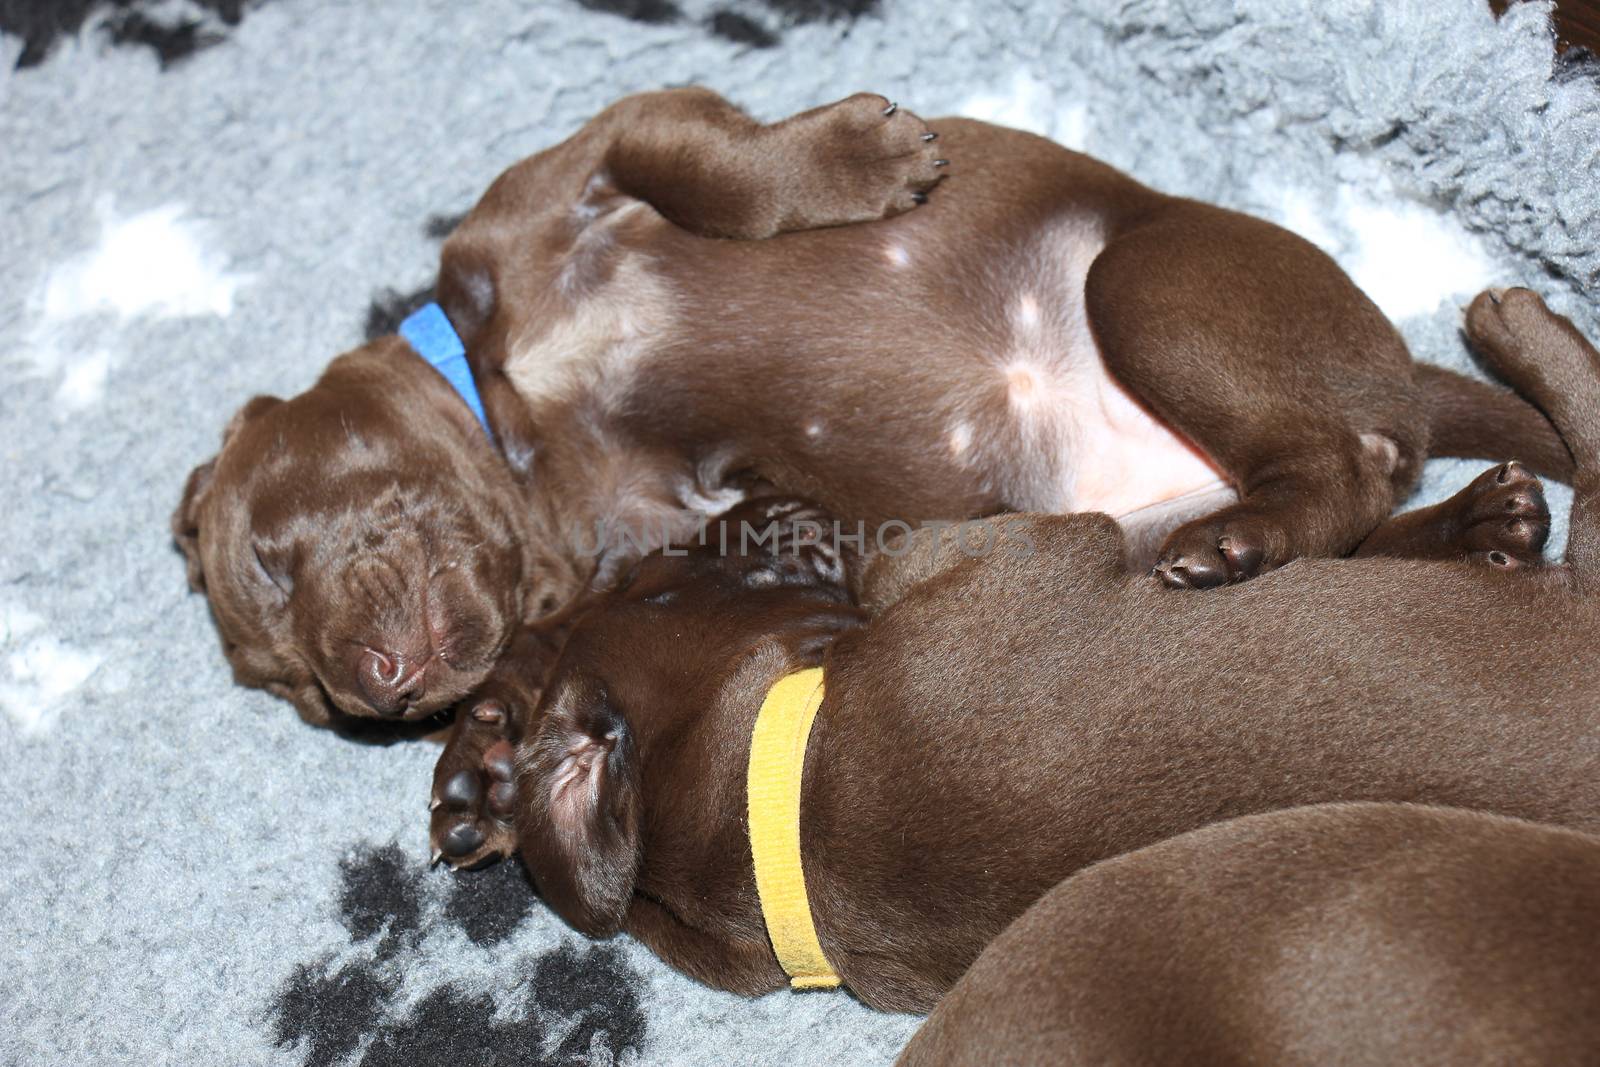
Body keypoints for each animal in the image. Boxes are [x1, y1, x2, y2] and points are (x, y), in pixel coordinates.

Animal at [172, 89, 1561, 726]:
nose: (375, 690)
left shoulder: (591, 162)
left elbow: (710, 168)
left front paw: (866, 155)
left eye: (274, 551)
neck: (513, 410)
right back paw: (1428, 532)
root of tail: (1393, 360)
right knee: (1357, 493)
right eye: (299, 694)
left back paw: (1254, 539)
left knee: (1346, 458)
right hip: (1134, 506)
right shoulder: (664, 519)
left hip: (1145, 289)